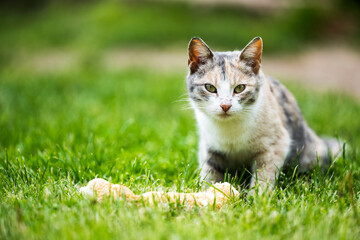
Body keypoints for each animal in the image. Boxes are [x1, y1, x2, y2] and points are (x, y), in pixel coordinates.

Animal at [187, 36, 342, 190]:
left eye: (240, 88)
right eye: (209, 87)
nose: (225, 105)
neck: (230, 130)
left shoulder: (276, 144)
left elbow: (264, 174)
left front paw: (258, 195)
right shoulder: (209, 147)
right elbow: (210, 172)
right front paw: (209, 191)